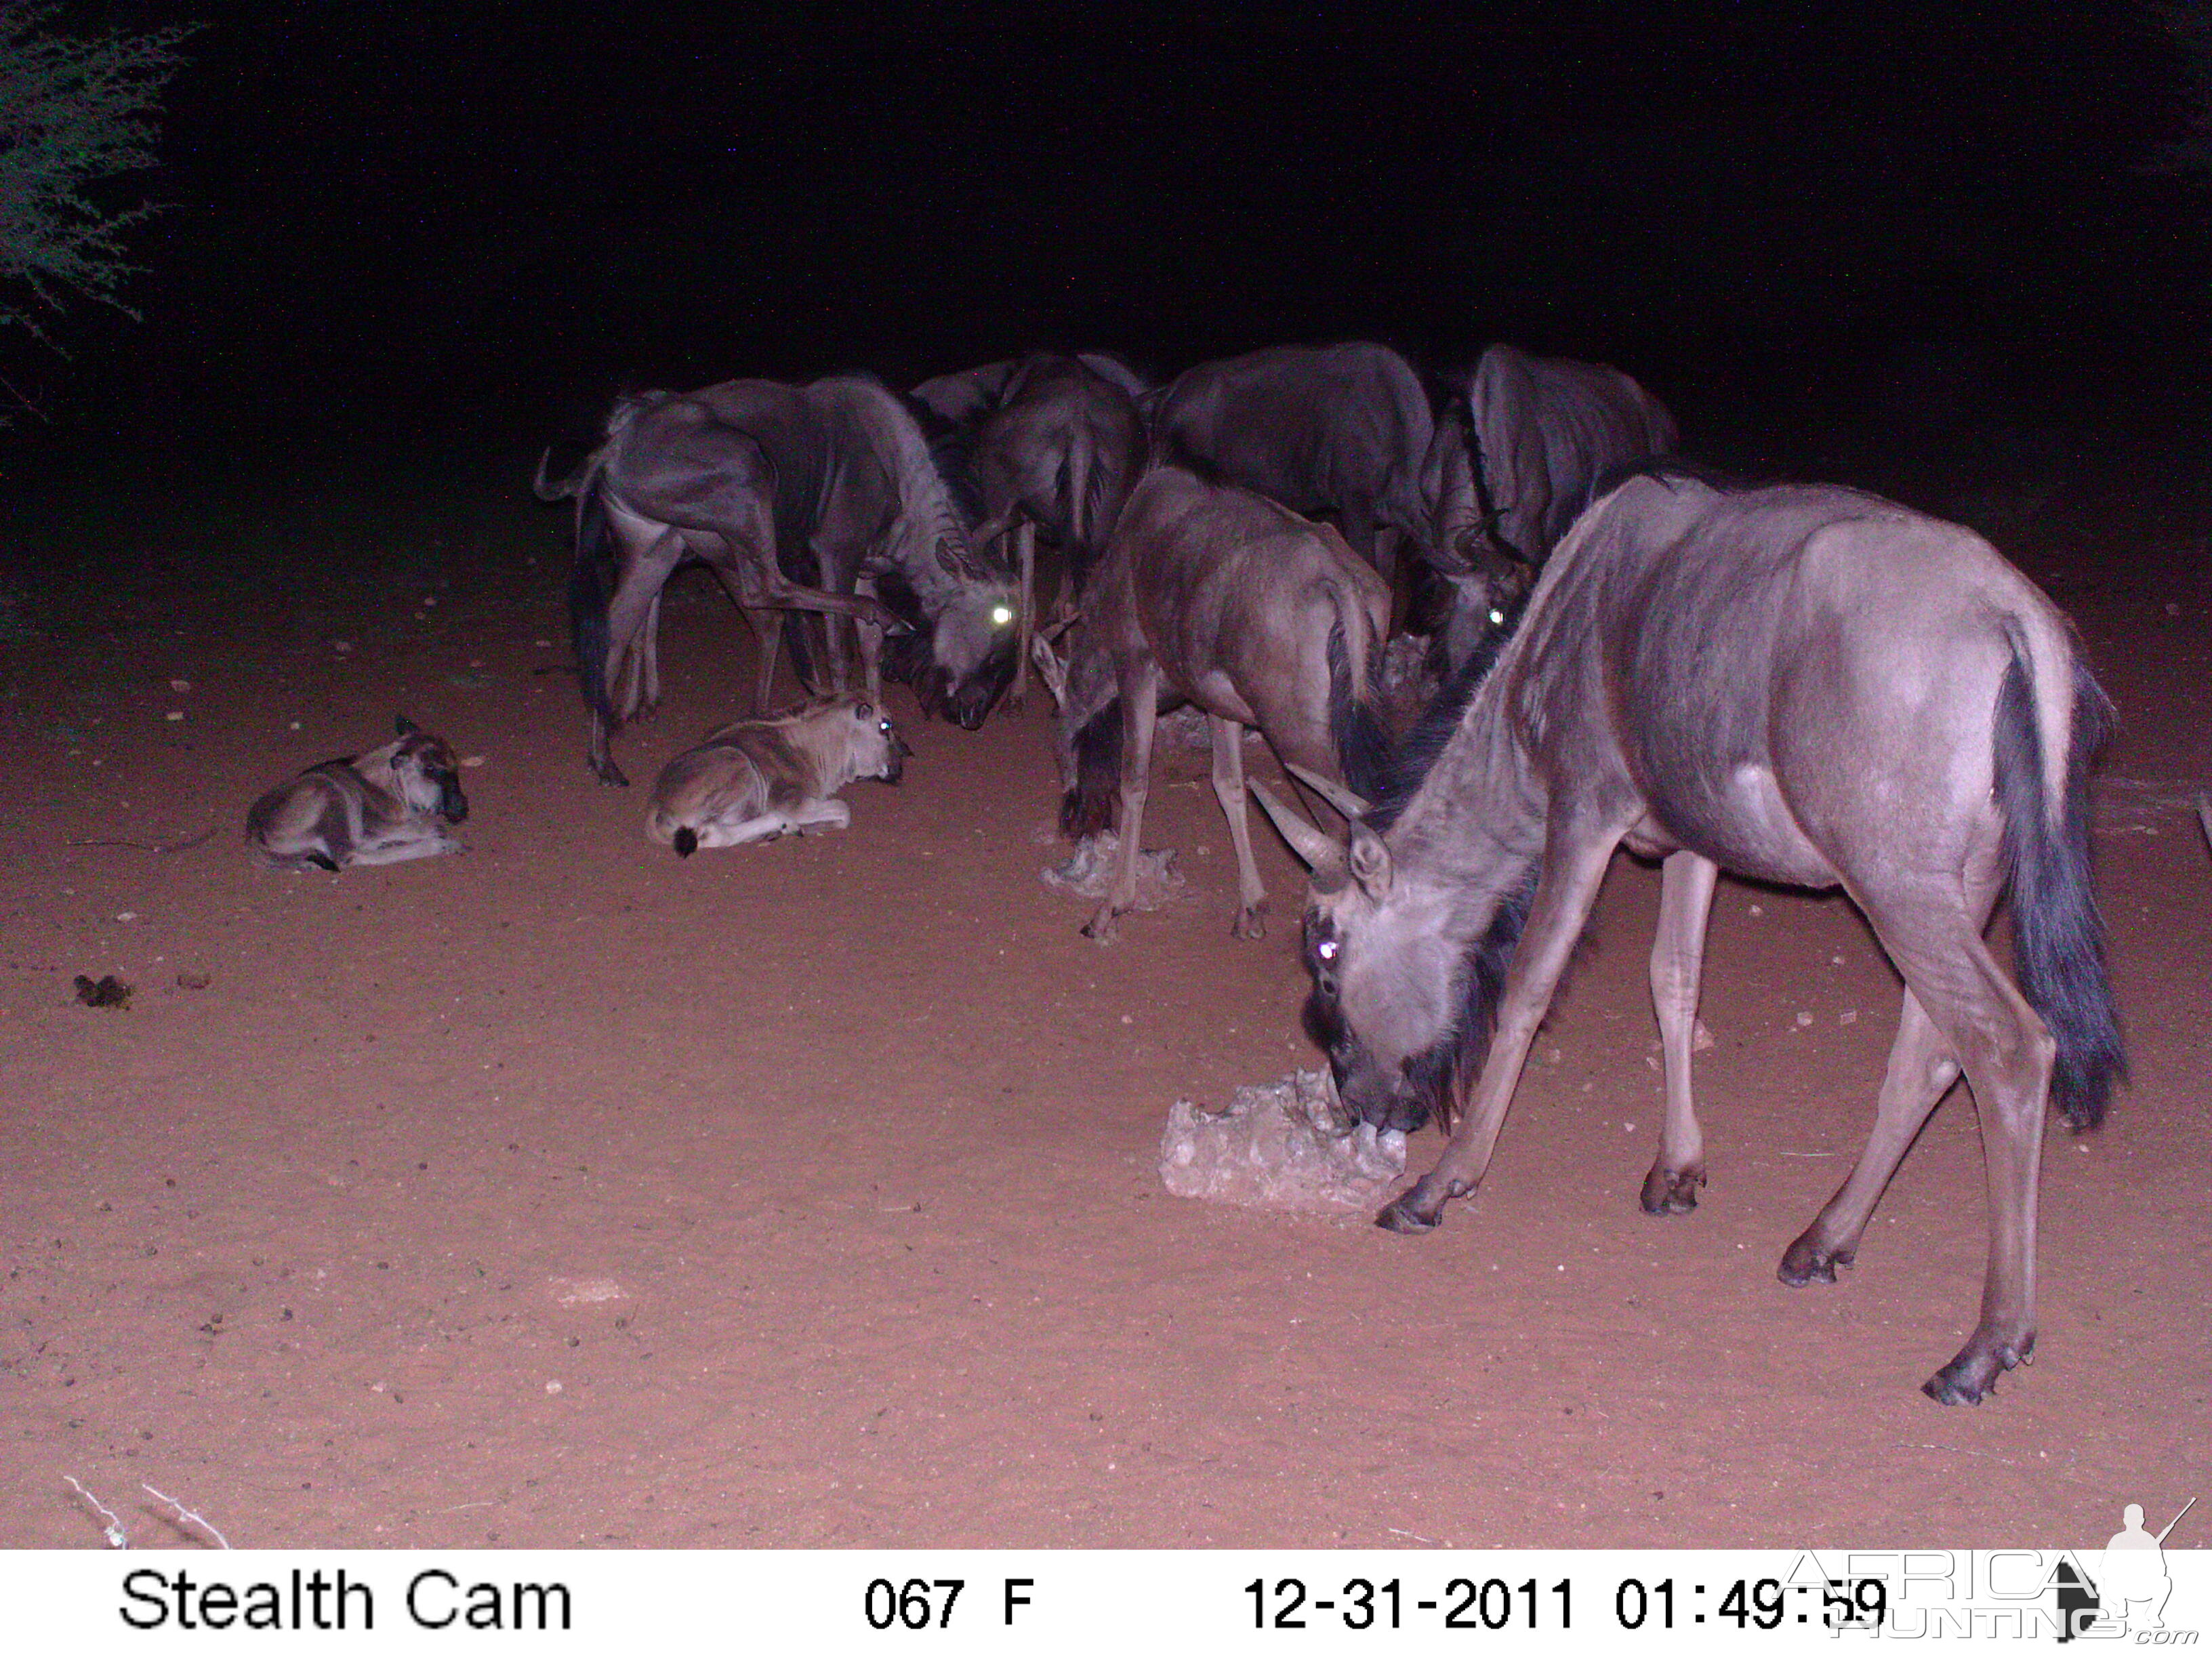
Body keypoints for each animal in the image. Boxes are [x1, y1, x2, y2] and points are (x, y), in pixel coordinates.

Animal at [242, 716, 466, 872]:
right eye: (432, 769)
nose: (462, 810)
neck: (391, 786)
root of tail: (254, 833)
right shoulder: (372, 821)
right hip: (331, 792)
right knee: (348, 854)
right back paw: (441, 845)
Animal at [646, 699, 911, 858]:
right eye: (885, 726)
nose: (898, 768)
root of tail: (658, 806)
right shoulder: (794, 803)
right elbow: (843, 810)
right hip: (741, 767)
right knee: (713, 832)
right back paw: (782, 826)